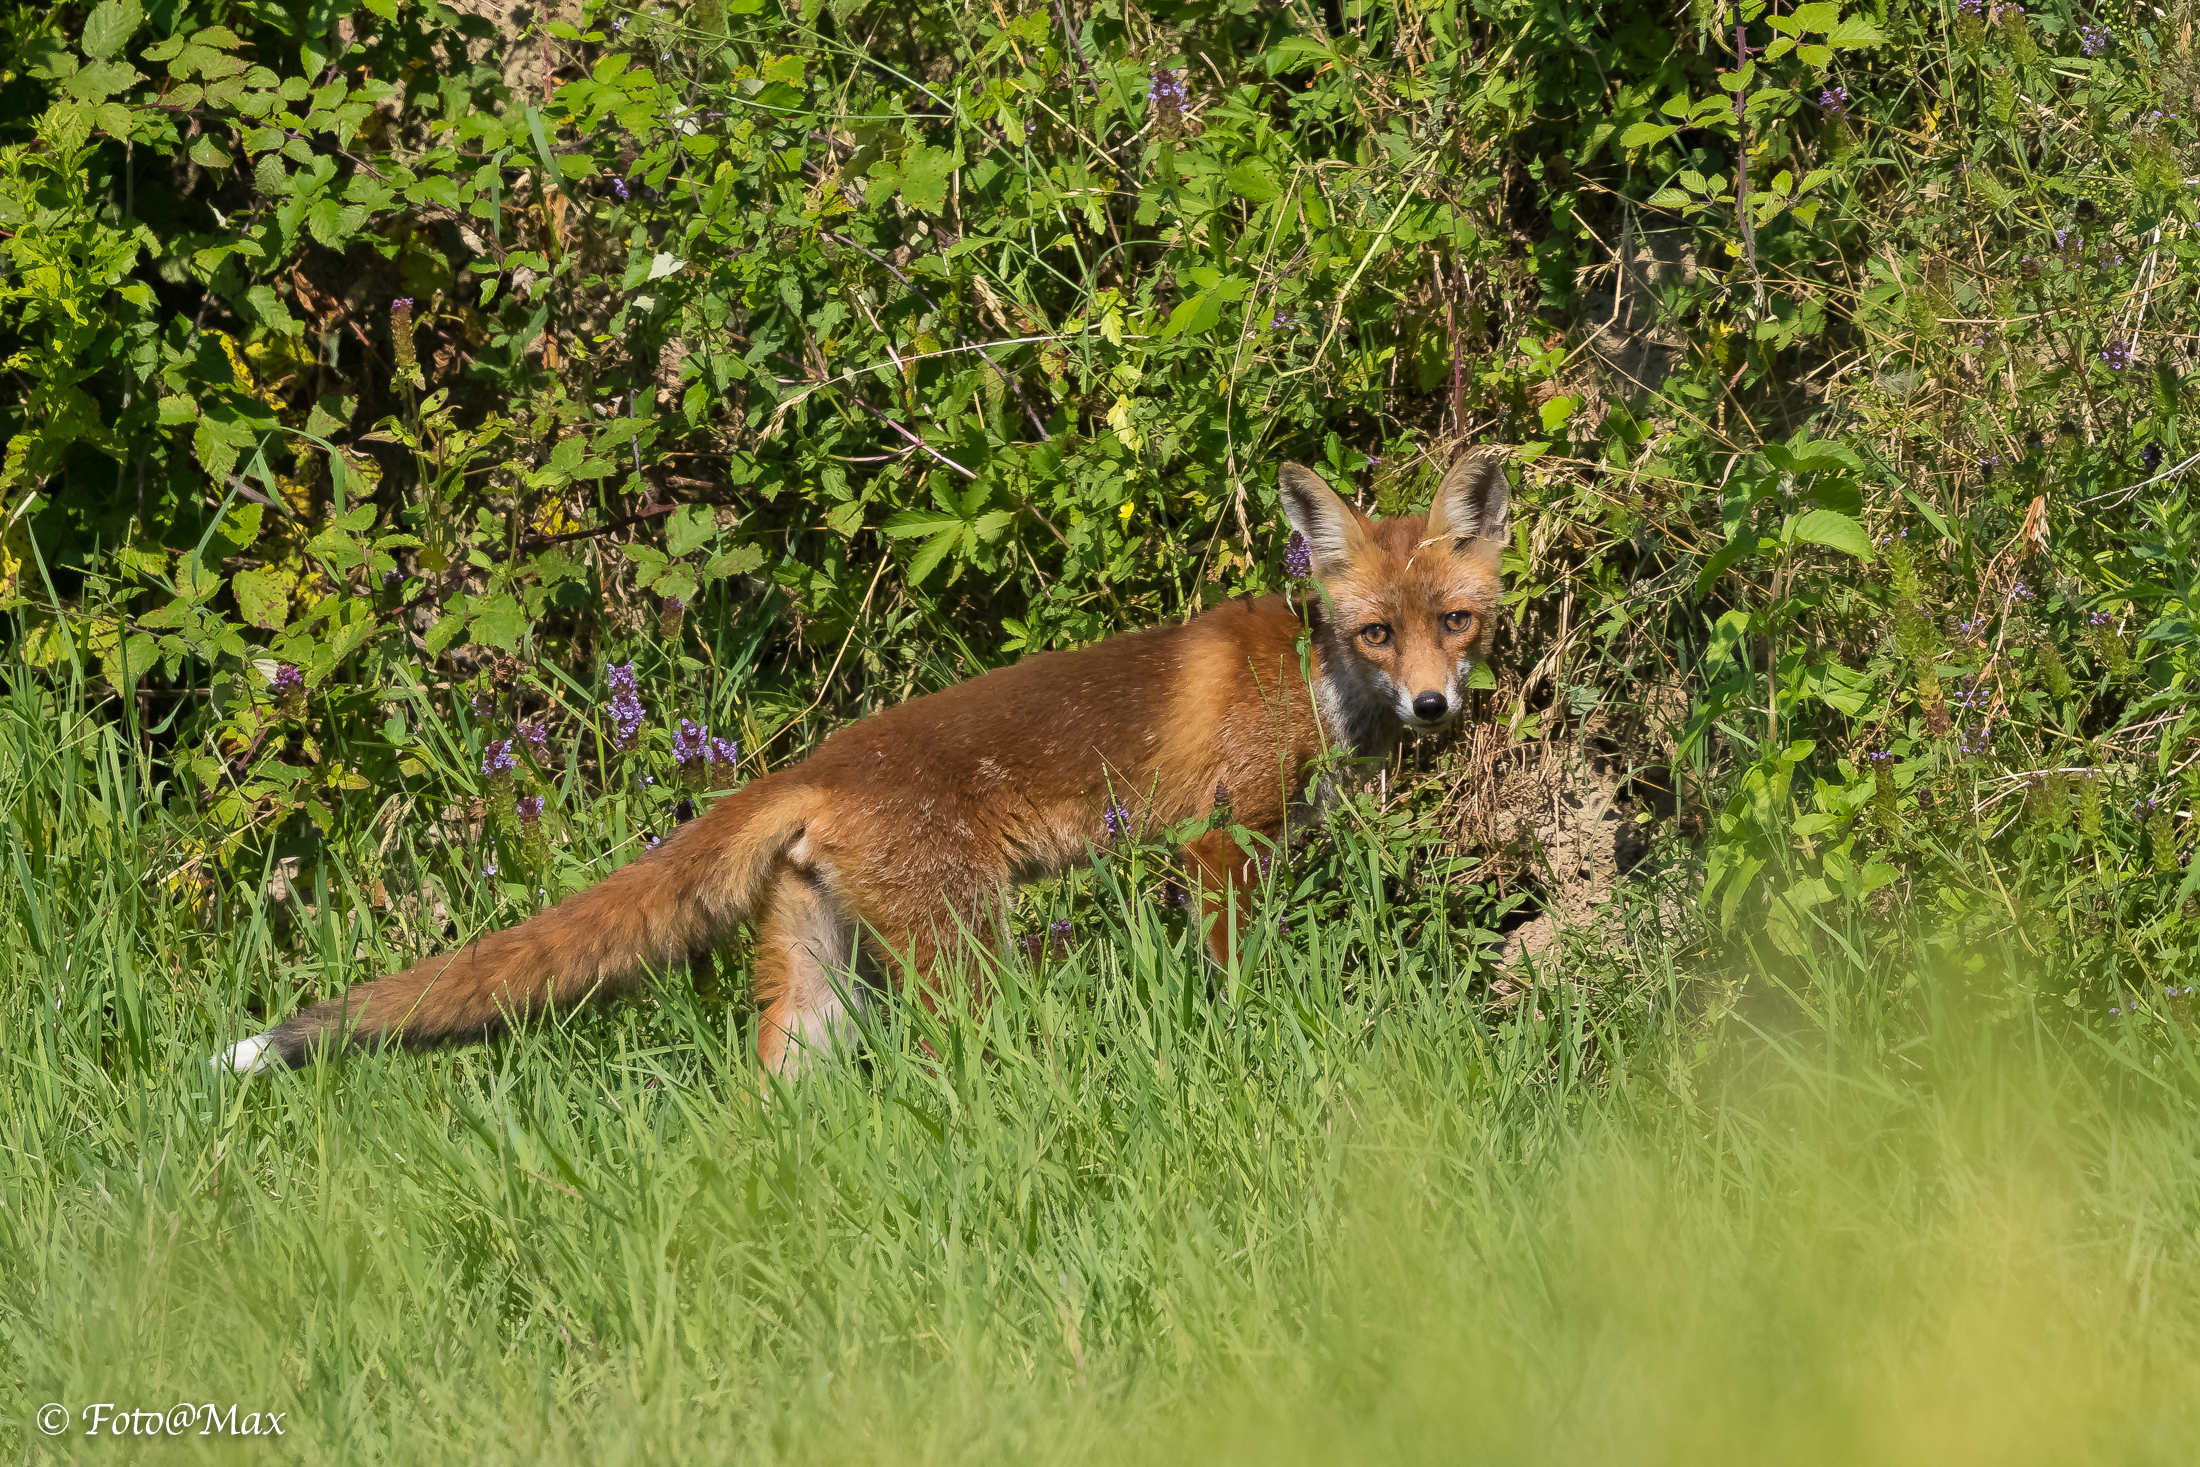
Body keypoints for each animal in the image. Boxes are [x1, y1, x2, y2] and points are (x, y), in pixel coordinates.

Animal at [213, 451, 1509, 1077]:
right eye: (1376, 633)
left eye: (1457, 623)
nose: (1434, 705)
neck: (1311, 678)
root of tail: (816, 762)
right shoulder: (1220, 840)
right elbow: (1237, 975)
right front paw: (1249, 1031)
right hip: (966, 954)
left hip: (814, 989)